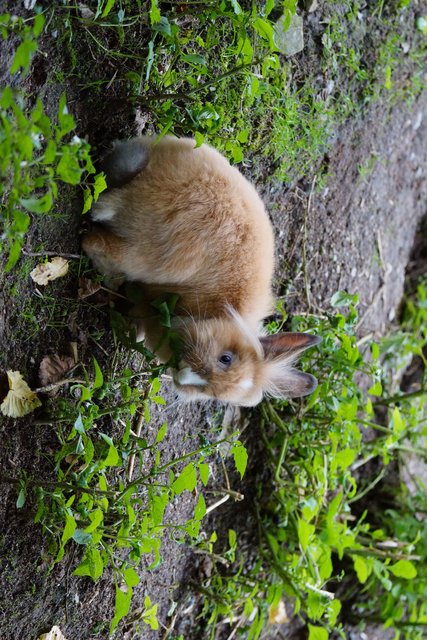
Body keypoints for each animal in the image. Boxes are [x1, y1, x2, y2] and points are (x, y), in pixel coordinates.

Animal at [82, 136, 321, 406]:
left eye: (213, 394)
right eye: (226, 358)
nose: (184, 376)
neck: (219, 311)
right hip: (148, 256)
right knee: (95, 242)